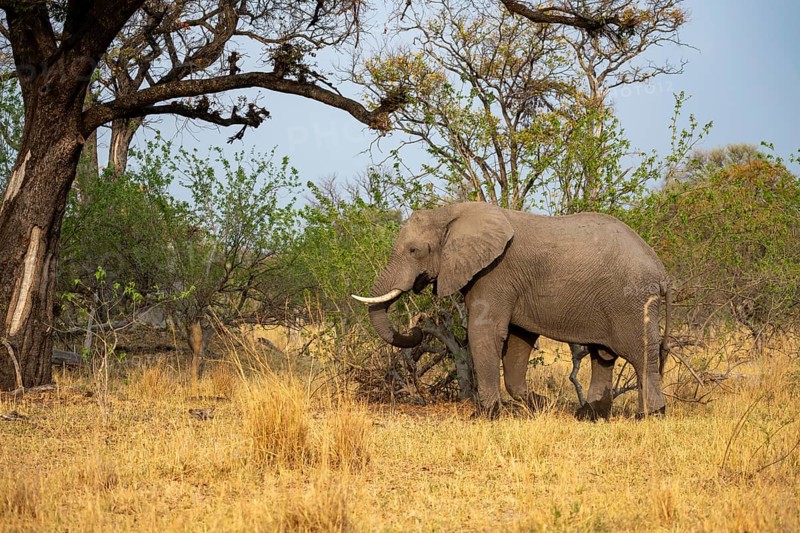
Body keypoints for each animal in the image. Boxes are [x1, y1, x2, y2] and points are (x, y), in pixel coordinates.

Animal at [352, 202, 671, 419]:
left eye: (414, 251)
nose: (417, 328)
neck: (450, 211)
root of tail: (661, 271)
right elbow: (518, 341)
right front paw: (540, 405)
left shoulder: (495, 273)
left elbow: (486, 332)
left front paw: (484, 415)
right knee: (602, 355)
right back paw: (587, 416)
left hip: (632, 302)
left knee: (641, 355)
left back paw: (650, 415)